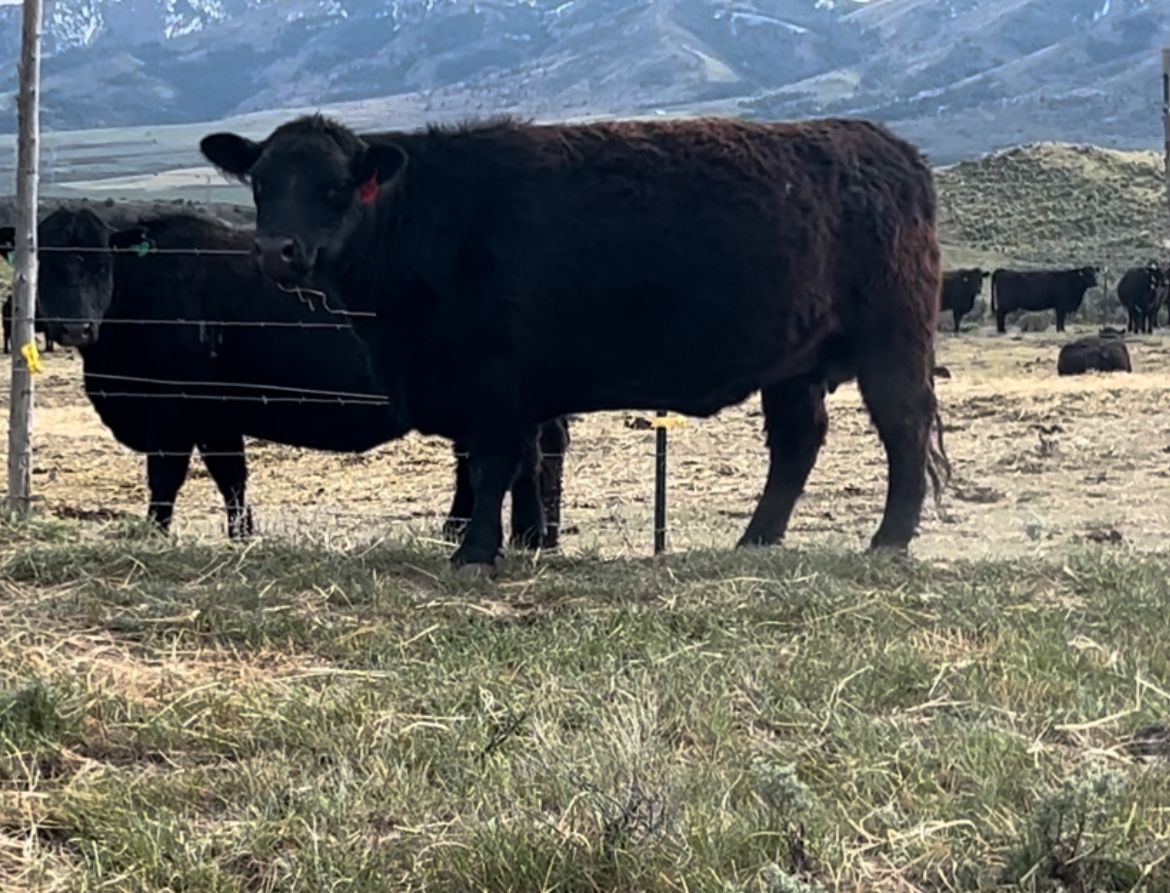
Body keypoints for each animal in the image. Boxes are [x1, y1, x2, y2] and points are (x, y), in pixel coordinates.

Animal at [0, 209, 570, 547]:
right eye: (45, 266)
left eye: (101, 264)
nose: (74, 327)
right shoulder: (215, 419)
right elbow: (230, 478)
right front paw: (240, 534)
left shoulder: (179, 416)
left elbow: (171, 480)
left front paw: (160, 533)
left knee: (520, 458)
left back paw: (523, 535)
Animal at [200, 113, 949, 572]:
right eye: (261, 183)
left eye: (333, 188)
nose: (275, 251)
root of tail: (889, 148)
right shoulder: (508, 392)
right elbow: (523, 468)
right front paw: (522, 544)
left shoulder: (494, 385)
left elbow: (493, 468)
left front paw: (475, 553)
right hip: (793, 364)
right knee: (797, 442)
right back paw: (756, 541)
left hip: (892, 341)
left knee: (904, 430)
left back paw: (888, 541)